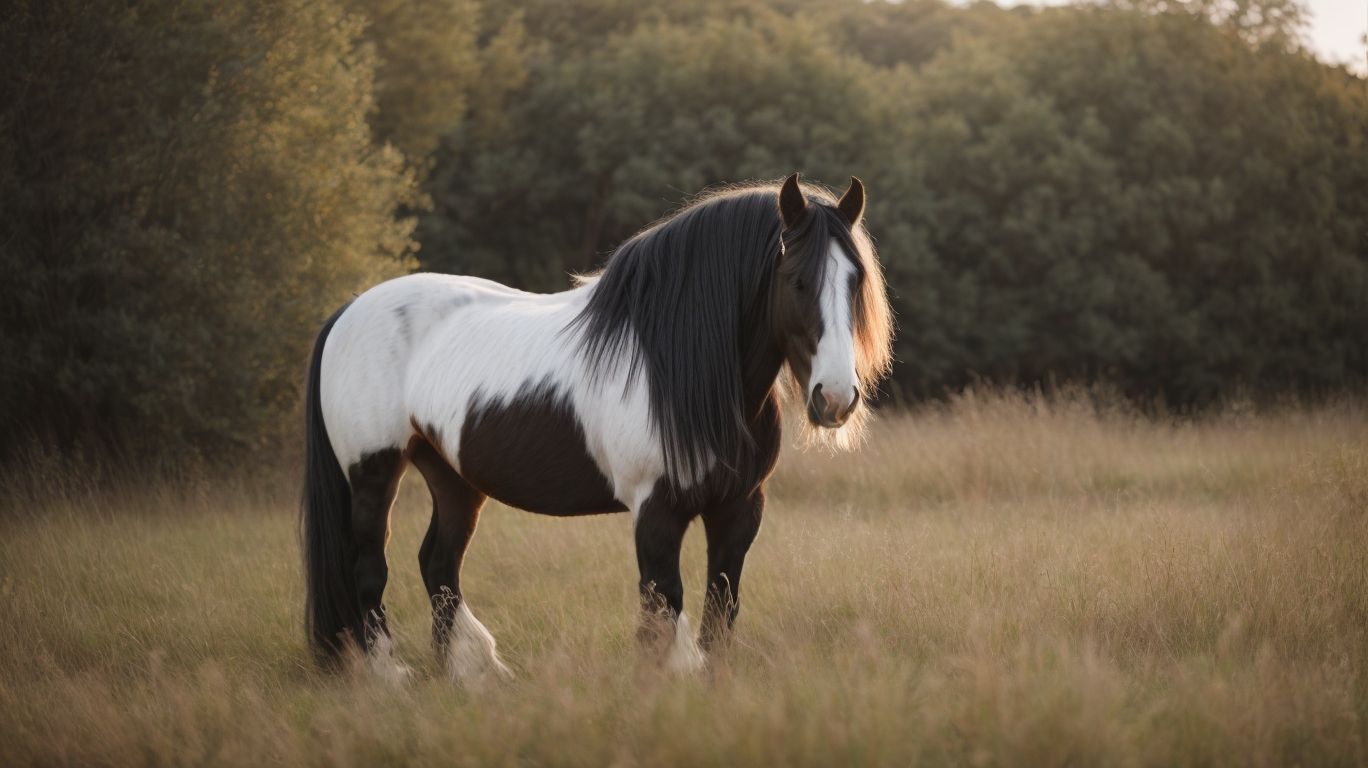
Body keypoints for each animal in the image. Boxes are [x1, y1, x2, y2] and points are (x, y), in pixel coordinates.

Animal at [301, 173, 894, 683]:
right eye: (797, 280)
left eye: (856, 281)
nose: (835, 398)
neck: (678, 365)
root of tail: (348, 313)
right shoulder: (656, 511)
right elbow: (662, 607)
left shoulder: (739, 508)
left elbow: (720, 607)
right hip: (374, 474)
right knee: (369, 568)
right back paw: (391, 676)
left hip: (453, 477)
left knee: (438, 565)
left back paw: (470, 673)